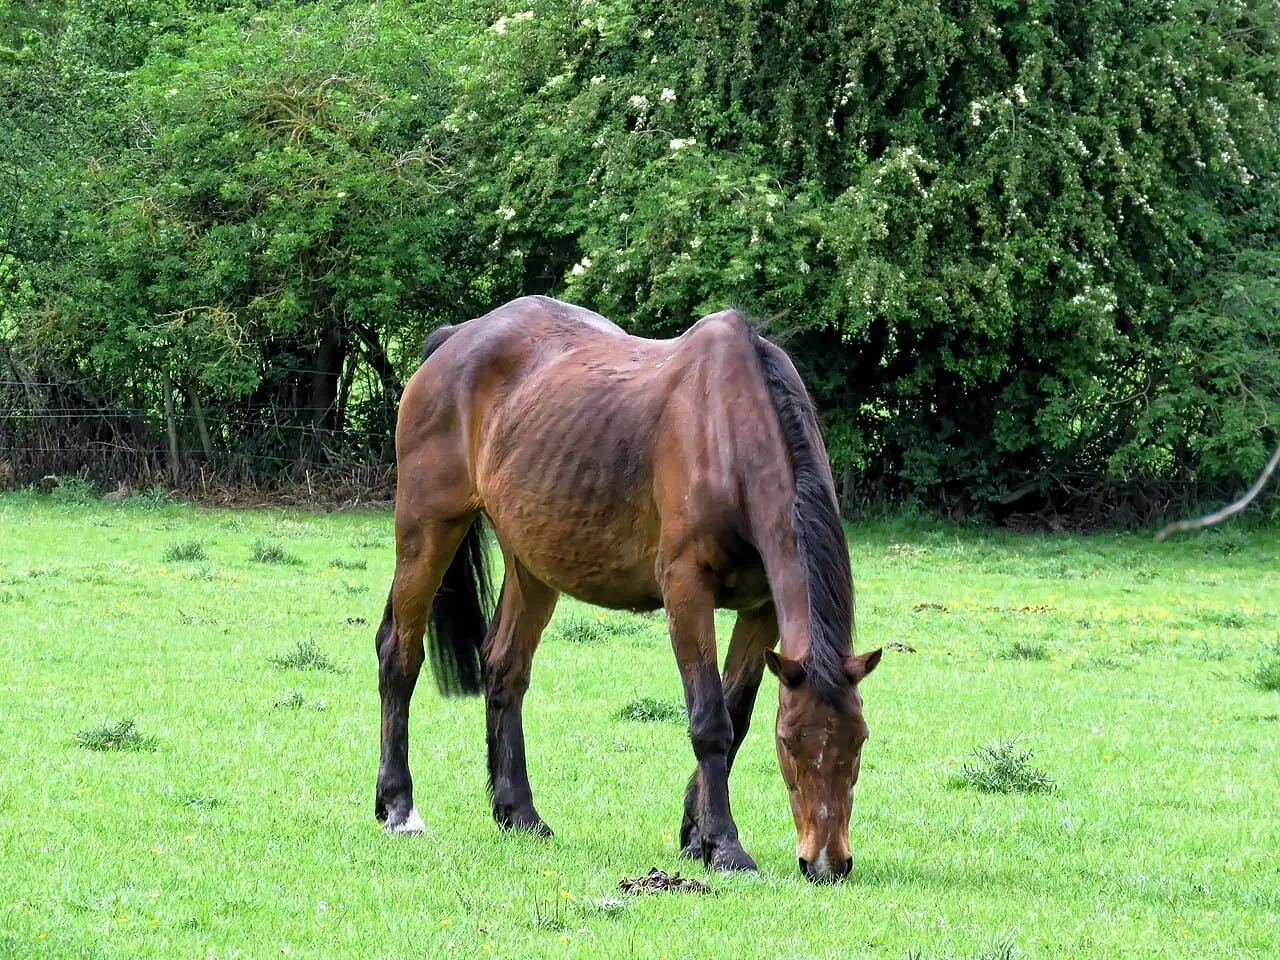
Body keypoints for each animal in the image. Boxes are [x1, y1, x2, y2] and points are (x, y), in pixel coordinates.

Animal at [373, 295, 881, 883]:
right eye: (789, 743)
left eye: (859, 741)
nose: (827, 863)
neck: (726, 435)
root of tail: (457, 339)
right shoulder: (687, 590)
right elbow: (710, 720)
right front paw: (725, 846)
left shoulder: (762, 610)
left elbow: (736, 715)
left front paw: (695, 835)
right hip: (427, 529)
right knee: (399, 655)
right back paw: (399, 807)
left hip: (532, 562)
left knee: (504, 667)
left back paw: (518, 812)